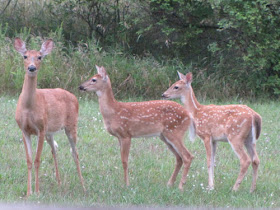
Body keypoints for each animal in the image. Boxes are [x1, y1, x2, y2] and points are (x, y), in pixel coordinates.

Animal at [13, 37, 85, 196]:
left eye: (40, 57)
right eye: (25, 56)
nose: (32, 68)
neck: (29, 107)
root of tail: (74, 97)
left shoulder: (40, 128)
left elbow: (37, 160)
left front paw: (37, 191)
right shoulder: (24, 130)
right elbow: (29, 160)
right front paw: (29, 192)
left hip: (71, 125)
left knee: (75, 152)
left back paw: (83, 186)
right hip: (50, 132)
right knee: (54, 151)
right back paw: (58, 182)